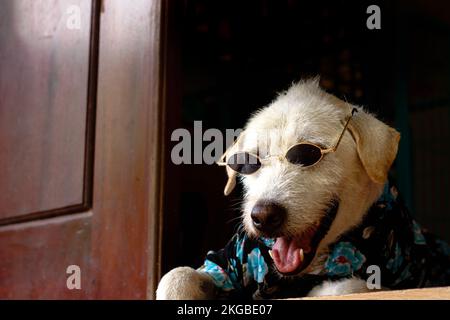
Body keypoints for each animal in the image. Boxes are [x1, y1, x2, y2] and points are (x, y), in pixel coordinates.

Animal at [157, 80, 450, 300]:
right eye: (249, 162)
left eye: (307, 154)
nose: (263, 217)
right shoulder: (224, 264)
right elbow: (175, 276)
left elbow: (344, 287)